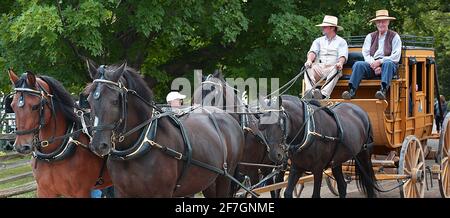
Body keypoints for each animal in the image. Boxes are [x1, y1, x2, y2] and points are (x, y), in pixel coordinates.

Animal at [84, 61, 246, 198]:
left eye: (114, 101)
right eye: (89, 101)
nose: (98, 145)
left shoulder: (162, 193)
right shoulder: (122, 192)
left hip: (225, 177)